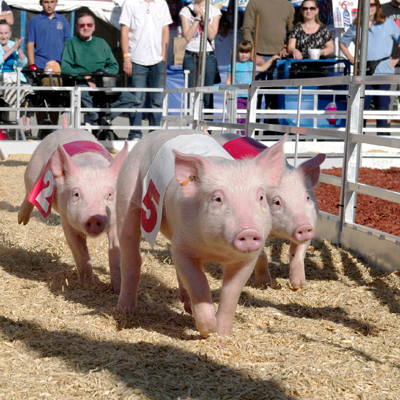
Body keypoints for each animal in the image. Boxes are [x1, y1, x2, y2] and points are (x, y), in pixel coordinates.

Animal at [18, 128, 127, 290]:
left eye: (110, 194)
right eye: (76, 194)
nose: (94, 217)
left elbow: (116, 253)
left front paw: (117, 289)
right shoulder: (66, 218)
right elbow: (80, 252)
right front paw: (88, 285)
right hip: (32, 170)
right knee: (29, 193)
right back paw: (22, 222)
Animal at [115, 130, 288, 336]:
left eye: (261, 197)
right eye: (217, 198)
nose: (248, 231)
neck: (217, 252)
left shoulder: (247, 259)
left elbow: (231, 292)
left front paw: (221, 334)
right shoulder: (183, 247)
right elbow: (199, 282)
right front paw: (207, 330)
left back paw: (187, 307)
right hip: (127, 194)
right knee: (131, 257)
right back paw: (125, 311)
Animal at [216, 133, 324, 290]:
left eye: (307, 197)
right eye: (277, 202)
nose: (304, 226)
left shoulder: (312, 222)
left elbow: (298, 254)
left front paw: (299, 285)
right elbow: (261, 255)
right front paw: (266, 284)